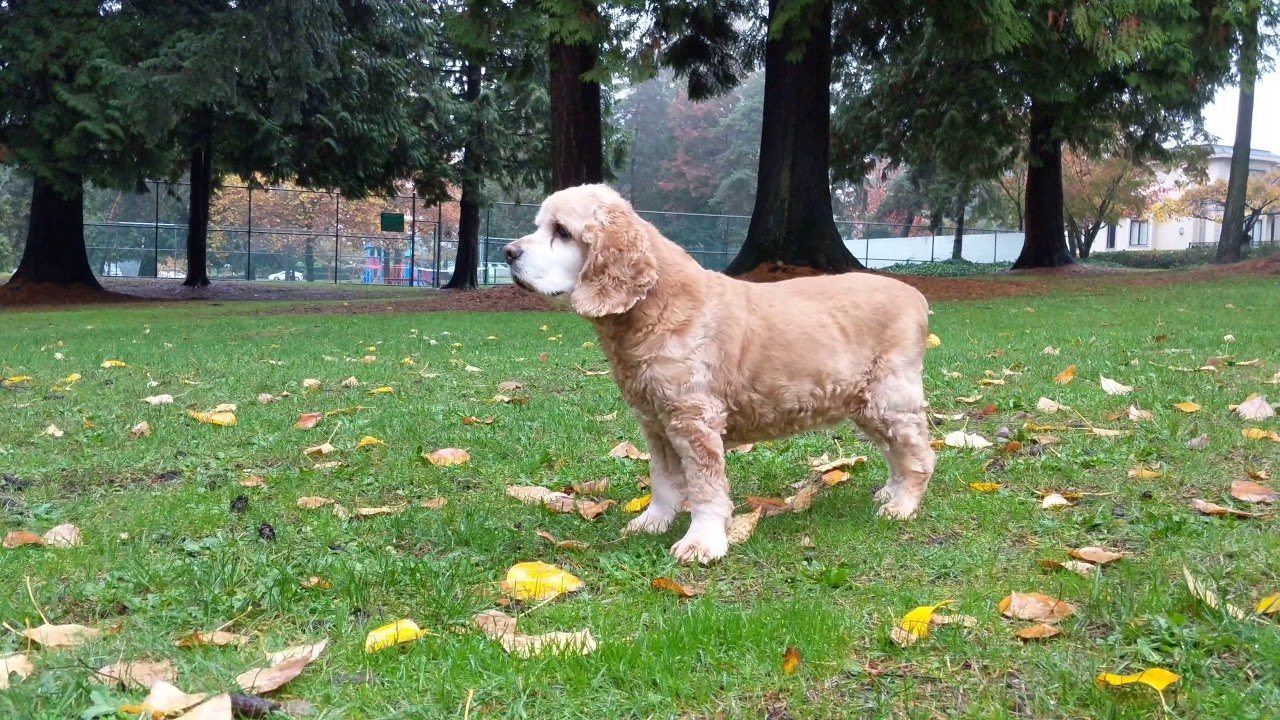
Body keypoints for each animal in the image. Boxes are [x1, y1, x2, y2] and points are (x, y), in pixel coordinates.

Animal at [504, 181, 936, 563]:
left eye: (562, 232)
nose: (508, 252)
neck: (656, 309)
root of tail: (916, 297)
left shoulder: (693, 421)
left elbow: (705, 489)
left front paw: (702, 542)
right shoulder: (656, 421)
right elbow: (663, 481)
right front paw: (652, 522)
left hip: (889, 399)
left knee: (918, 454)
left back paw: (902, 505)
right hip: (866, 403)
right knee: (896, 451)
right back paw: (890, 492)